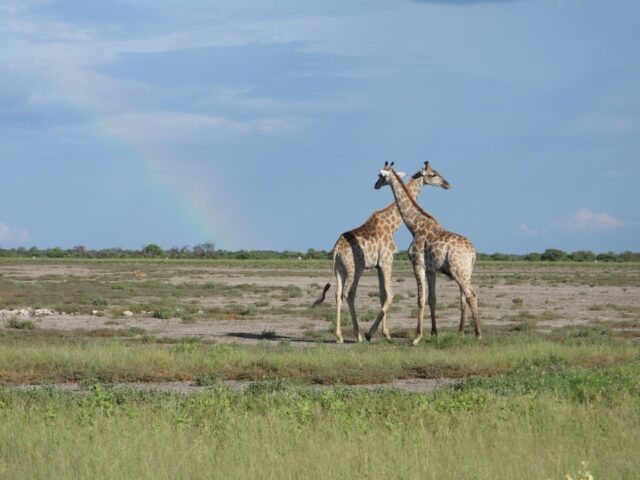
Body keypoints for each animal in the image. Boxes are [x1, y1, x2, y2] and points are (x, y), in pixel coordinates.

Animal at [314, 163, 450, 344]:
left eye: (380, 176)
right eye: (433, 174)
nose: (446, 184)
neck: (393, 225)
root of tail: (336, 249)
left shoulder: (379, 266)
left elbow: (382, 296)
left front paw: (385, 333)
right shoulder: (387, 261)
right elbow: (390, 295)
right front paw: (374, 334)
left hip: (339, 270)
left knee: (337, 294)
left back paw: (339, 336)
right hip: (355, 268)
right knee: (349, 293)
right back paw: (357, 335)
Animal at [376, 161, 480, 344]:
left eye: (380, 176)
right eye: (434, 173)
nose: (375, 185)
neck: (414, 225)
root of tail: (472, 252)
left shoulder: (418, 264)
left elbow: (420, 299)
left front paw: (417, 337)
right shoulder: (432, 270)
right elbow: (432, 299)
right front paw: (434, 333)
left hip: (459, 272)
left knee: (471, 296)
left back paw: (478, 334)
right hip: (466, 272)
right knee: (466, 297)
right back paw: (466, 332)